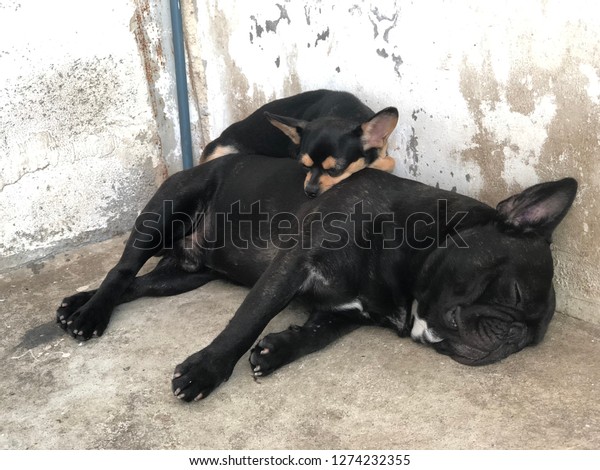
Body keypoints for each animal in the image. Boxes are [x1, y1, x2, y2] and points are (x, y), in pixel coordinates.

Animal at [56, 154, 576, 400]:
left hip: (187, 275)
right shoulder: (294, 263)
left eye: (530, 342)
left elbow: (315, 336)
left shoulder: (348, 313)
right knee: (122, 269)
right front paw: (207, 369)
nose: (512, 338)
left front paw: (278, 350)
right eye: (513, 293)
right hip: (166, 206)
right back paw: (91, 314)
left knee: (137, 283)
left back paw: (75, 304)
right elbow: (247, 320)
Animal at [199, 90, 400, 198]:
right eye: (304, 166)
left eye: (334, 170)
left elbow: (389, 161)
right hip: (218, 150)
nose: (310, 191)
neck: (342, 114)